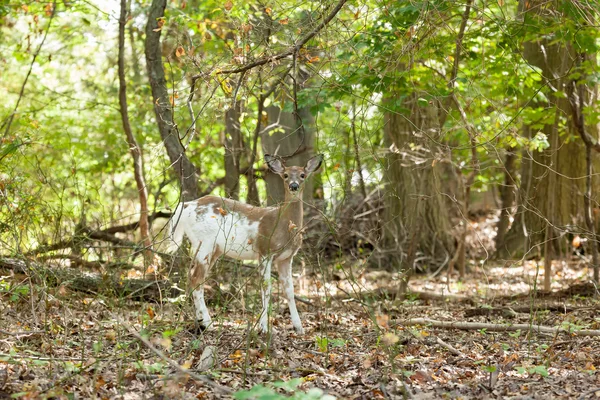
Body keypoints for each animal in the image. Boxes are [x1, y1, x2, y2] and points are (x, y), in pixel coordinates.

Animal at [169, 153, 324, 334]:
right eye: (285, 175)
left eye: (302, 175)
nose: (293, 186)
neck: (283, 224)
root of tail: (186, 206)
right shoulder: (265, 250)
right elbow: (266, 288)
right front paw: (265, 328)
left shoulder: (286, 257)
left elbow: (290, 291)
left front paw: (299, 327)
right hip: (205, 242)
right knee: (196, 279)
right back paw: (207, 323)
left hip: (214, 248)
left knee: (192, 278)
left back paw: (197, 321)